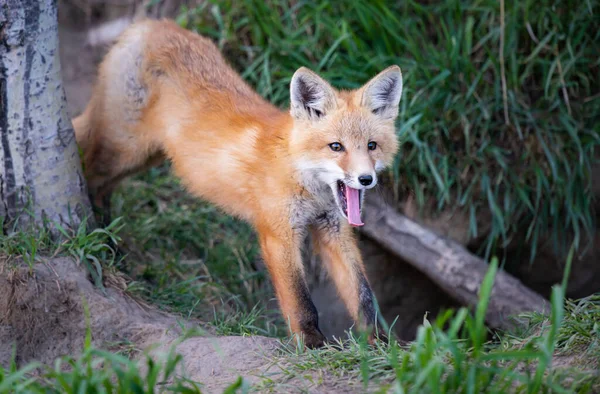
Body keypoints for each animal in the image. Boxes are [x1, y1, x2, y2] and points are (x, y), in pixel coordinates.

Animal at [74, 19, 404, 348]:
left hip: (149, 155)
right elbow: (301, 301)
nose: (366, 179)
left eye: (372, 146)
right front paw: (311, 345)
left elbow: (363, 295)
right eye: (336, 147)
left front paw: (382, 345)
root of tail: (151, 24)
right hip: (125, 148)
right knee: (90, 173)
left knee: (103, 185)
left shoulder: (333, 229)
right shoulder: (278, 235)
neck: (303, 181)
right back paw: (103, 241)